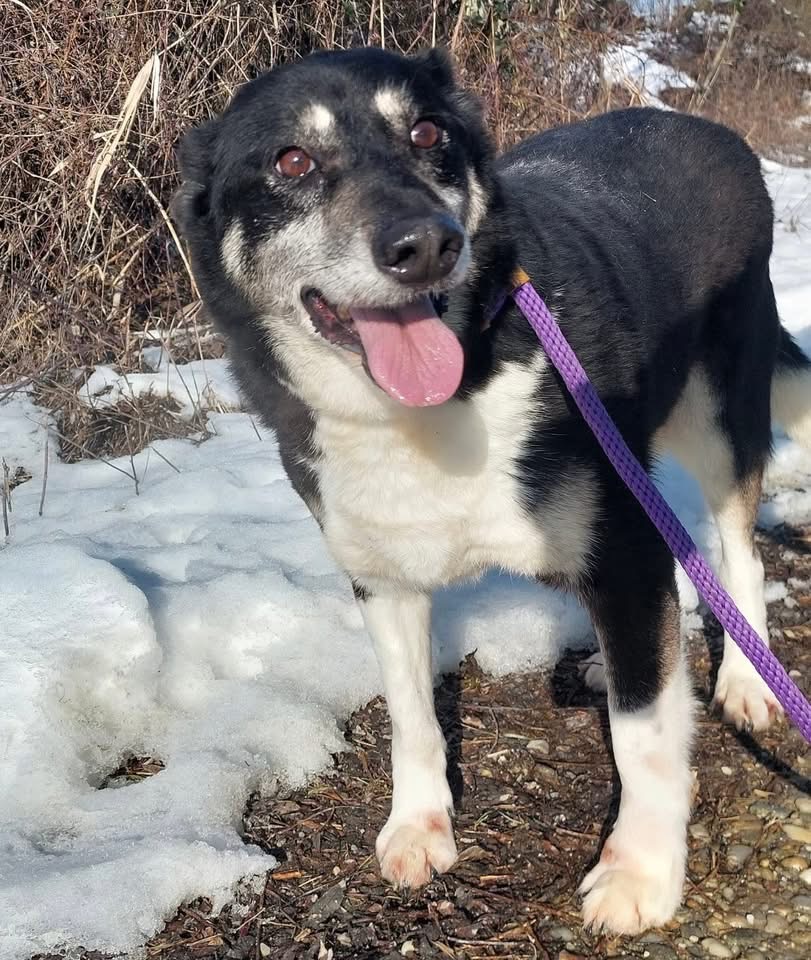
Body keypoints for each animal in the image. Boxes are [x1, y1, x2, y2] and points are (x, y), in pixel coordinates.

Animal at [172, 47, 811, 934]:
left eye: (425, 132)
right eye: (291, 161)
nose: (425, 246)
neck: (432, 404)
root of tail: (709, 128)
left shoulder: (624, 549)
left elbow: (643, 736)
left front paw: (640, 872)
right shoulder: (382, 579)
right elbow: (410, 714)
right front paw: (418, 824)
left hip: (717, 412)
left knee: (735, 554)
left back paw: (746, 681)